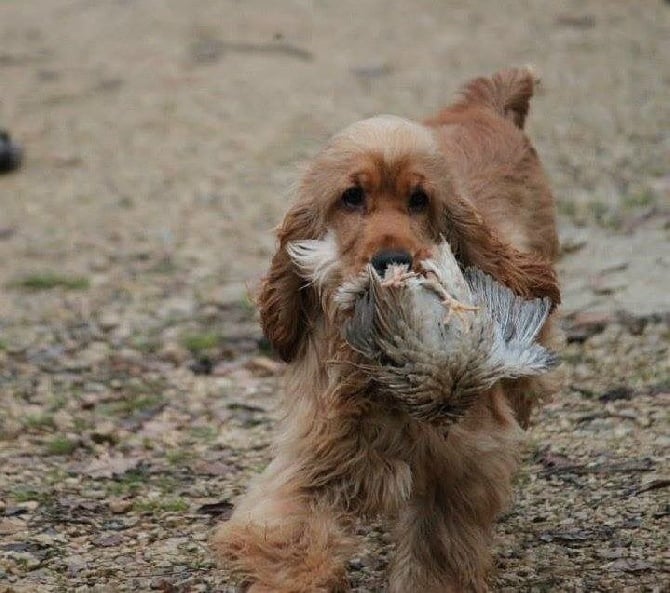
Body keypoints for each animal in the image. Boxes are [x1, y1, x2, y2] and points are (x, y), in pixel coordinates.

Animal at [214, 66, 560, 592]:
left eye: (419, 200)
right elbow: (287, 534)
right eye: (352, 196)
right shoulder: (315, 456)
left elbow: (439, 544)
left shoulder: (463, 460)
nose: (392, 261)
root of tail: (484, 106)